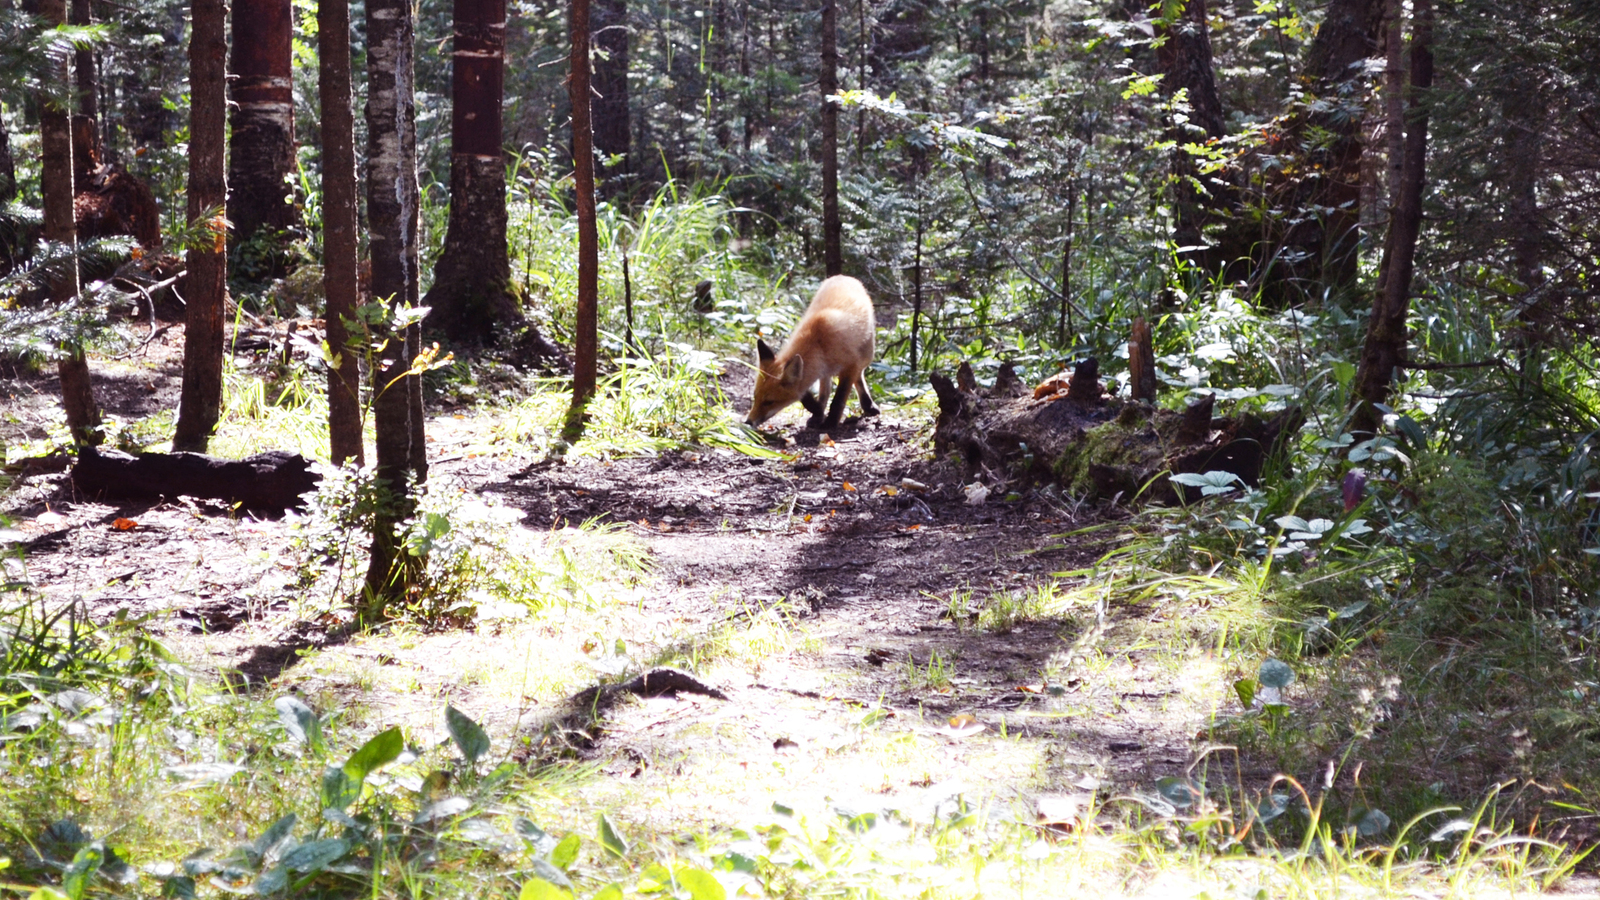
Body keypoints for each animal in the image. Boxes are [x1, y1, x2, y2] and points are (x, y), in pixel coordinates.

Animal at [745, 273, 883, 425]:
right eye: (755, 397)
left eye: (769, 402)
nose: (748, 422)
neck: (819, 345)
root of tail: (843, 276)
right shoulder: (820, 368)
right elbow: (809, 397)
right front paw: (818, 411)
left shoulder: (850, 365)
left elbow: (838, 399)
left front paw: (830, 423)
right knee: (829, 389)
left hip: (866, 355)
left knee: (859, 376)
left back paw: (867, 405)